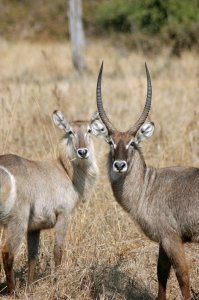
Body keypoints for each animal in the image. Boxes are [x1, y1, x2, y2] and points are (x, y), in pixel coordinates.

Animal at [0, 110, 99, 292]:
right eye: (70, 131)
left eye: (89, 130)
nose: (83, 152)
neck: (66, 171)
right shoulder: (64, 215)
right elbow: (58, 251)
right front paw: (57, 283)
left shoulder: (34, 227)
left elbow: (32, 256)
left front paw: (30, 288)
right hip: (17, 221)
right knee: (7, 252)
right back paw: (13, 292)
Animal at [93, 62, 199, 298]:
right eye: (110, 142)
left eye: (132, 142)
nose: (120, 165)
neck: (148, 186)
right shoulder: (163, 241)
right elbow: (161, 273)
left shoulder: (171, 238)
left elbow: (182, 275)